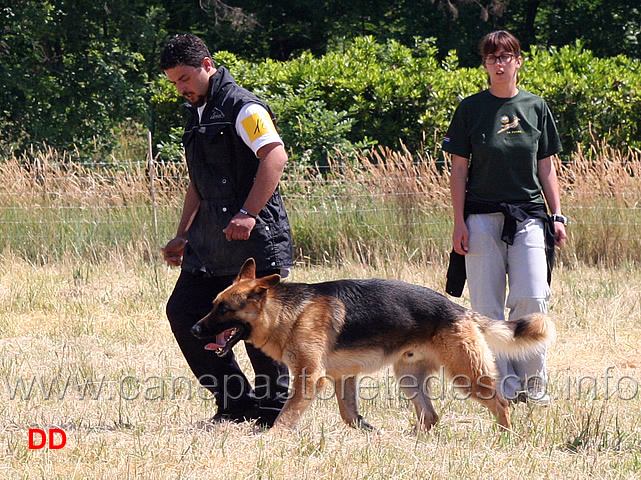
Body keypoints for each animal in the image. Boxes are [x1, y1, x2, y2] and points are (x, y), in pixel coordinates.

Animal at [189, 258, 552, 432]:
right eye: (213, 304)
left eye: (224, 309)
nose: (193, 329)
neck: (288, 311)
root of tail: (459, 309)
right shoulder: (342, 378)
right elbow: (349, 415)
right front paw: (368, 433)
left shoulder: (309, 377)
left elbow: (285, 417)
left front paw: (271, 440)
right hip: (408, 379)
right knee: (431, 415)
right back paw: (411, 441)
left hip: (467, 377)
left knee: (500, 404)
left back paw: (505, 437)